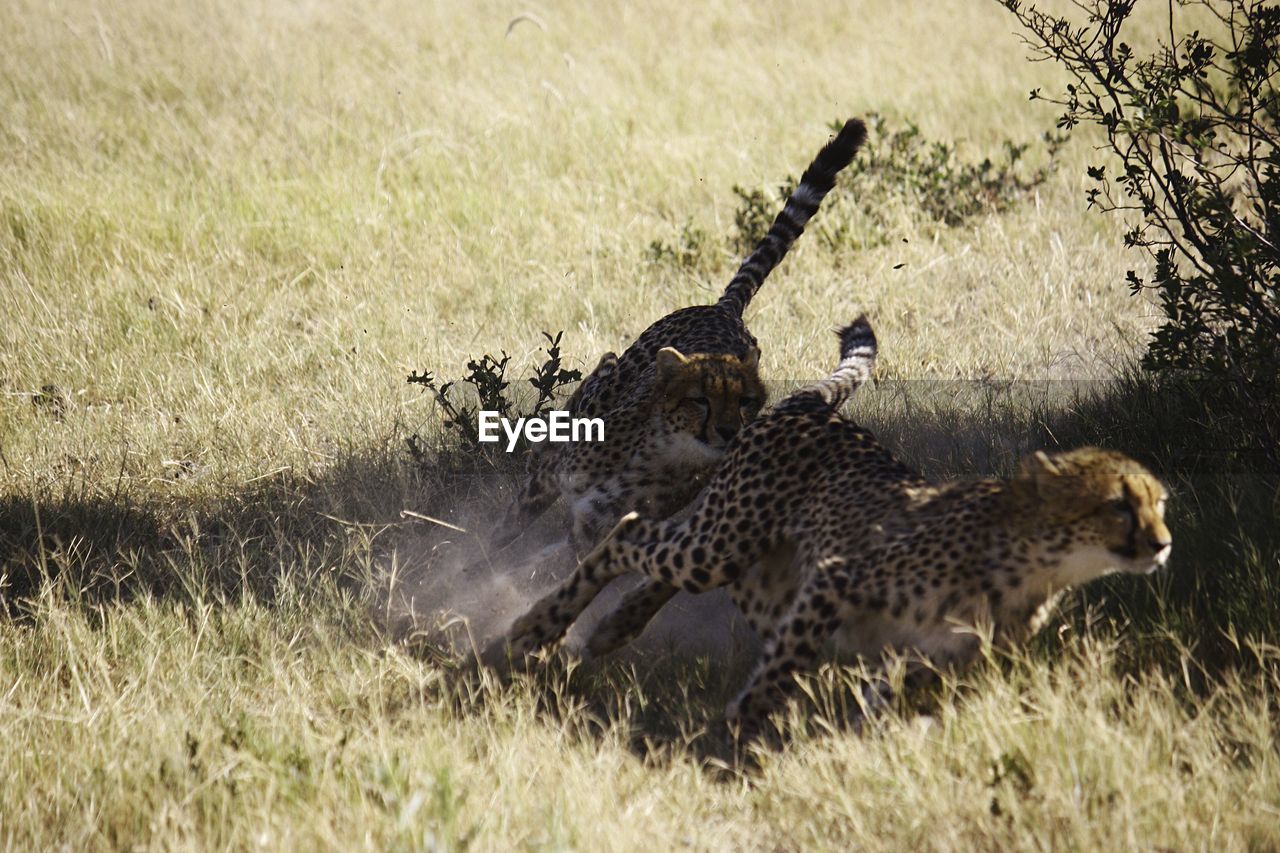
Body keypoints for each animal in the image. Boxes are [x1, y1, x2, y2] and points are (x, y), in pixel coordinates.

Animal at [488, 119, 870, 558]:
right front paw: (470, 557)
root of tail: (724, 310)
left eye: (744, 402)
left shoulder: (593, 528)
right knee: (581, 401)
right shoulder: (560, 479)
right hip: (608, 388)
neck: (663, 451)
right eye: (700, 400)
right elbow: (509, 527)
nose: (728, 431)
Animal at [496, 315, 1172, 732]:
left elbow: (882, 693)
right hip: (723, 542)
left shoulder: (925, 654)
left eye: (1159, 503)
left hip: (750, 559)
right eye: (1117, 504)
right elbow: (780, 671)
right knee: (630, 533)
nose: (1163, 544)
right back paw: (538, 628)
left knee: (648, 555)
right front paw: (735, 732)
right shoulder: (835, 579)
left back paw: (609, 625)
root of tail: (808, 403)